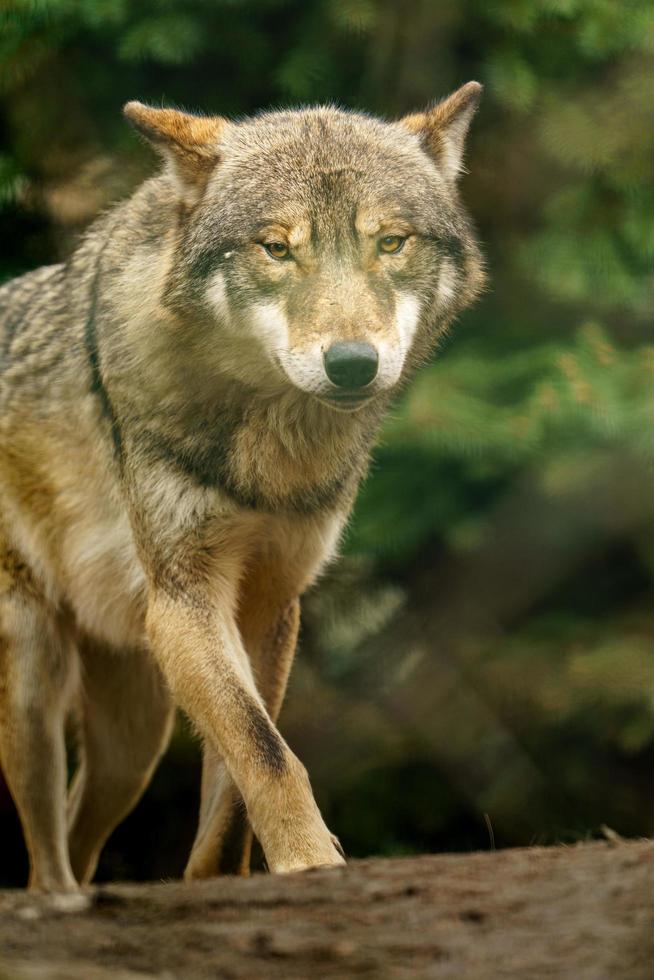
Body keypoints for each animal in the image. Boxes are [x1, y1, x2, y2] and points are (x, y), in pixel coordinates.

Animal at [0, 83, 484, 892]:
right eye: (277, 248)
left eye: (391, 243)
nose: (351, 364)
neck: (270, 456)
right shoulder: (186, 600)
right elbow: (265, 751)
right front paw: (310, 860)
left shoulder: (268, 604)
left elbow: (238, 782)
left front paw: (223, 880)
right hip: (36, 682)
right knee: (45, 855)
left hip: (133, 742)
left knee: (77, 832)